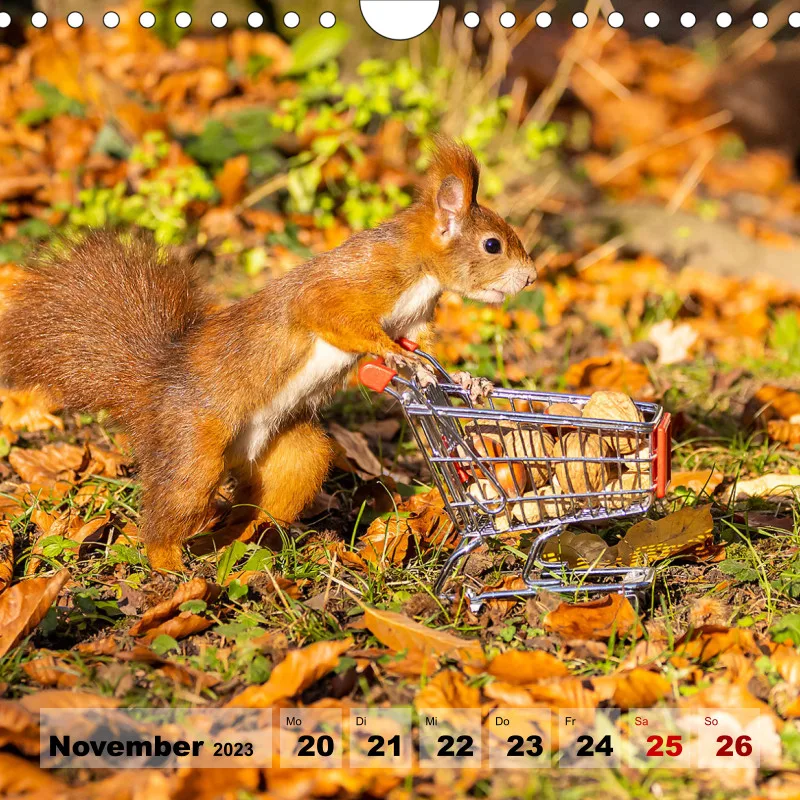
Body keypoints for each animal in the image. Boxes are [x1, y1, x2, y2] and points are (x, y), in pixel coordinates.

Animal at [0, 137, 536, 572]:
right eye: (492, 245)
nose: (530, 278)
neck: (422, 272)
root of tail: (155, 386)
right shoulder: (353, 283)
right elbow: (332, 315)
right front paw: (400, 360)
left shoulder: (413, 320)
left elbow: (424, 349)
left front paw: (464, 380)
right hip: (193, 446)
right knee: (172, 506)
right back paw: (171, 565)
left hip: (296, 455)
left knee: (254, 510)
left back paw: (243, 541)